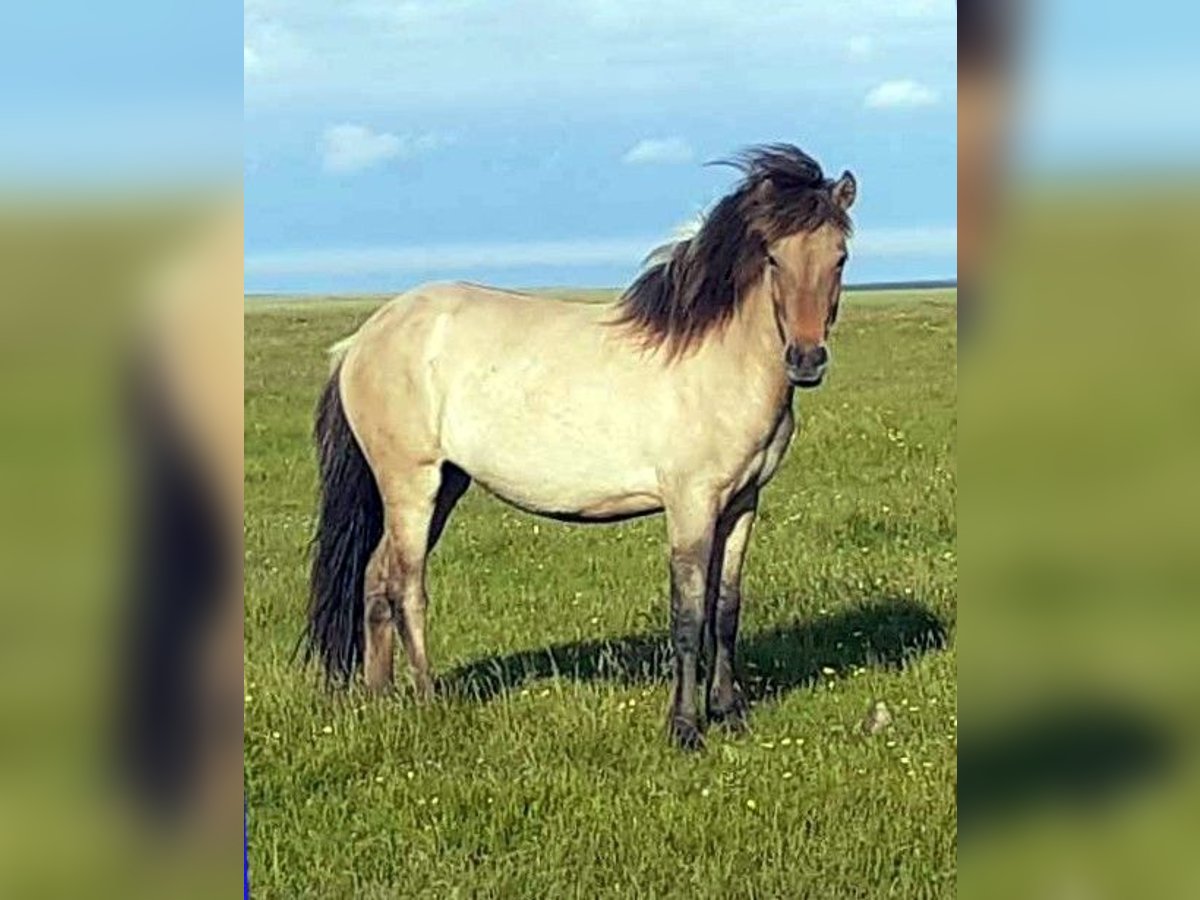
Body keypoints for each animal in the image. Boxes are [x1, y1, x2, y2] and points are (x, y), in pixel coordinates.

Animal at [304, 144, 859, 748]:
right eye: (774, 259)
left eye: (840, 259)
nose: (806, 361)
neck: (715, 361)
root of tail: (363, 340)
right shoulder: (690, 505)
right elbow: (688, 614)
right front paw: (686, 728)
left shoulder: (741, 503)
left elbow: (726, 609)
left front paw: (729, 713)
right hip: (412, 484)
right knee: (406, 584)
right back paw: (428, 699)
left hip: (445, 484)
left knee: (375, 576)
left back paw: (378, 697)